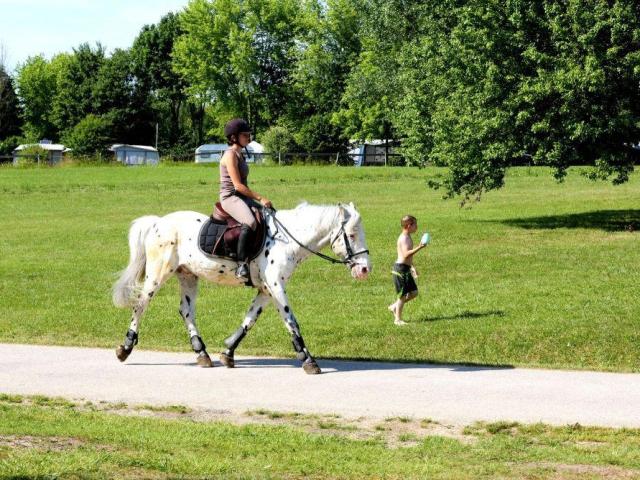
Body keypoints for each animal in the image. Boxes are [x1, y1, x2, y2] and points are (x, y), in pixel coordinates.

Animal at [110, 202, 370, 376]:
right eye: (351, 235)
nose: (365, 269)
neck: (287, 240)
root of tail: (158, 222)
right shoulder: (276, 287)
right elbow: (291, 322)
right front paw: (308, 360)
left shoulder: (266, 290)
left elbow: (249, 320)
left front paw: (228, 353)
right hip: (158, 273)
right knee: (141, 304)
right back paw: (125, 348)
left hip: (188, 275)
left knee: (186, 311)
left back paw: (202, 353)